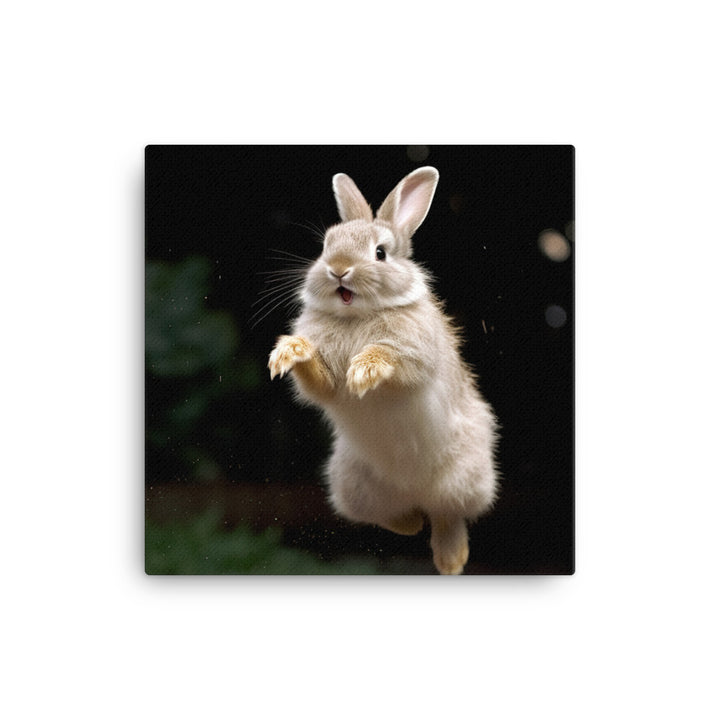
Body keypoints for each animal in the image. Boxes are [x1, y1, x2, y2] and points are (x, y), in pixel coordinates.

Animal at [268, 166, 498, 574]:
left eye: (380, 253)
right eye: (325, 246)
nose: (338, 270)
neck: (357, 315)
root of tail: (413, 491)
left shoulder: (415, 356)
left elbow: (393, 360)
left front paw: (364, 370)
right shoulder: (325, 383)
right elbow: (321, 382)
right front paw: (290, 352)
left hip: (466, 480)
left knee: (448, 516)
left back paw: (452, 560)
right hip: (350, 486)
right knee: (396, 517)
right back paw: (411, 523)